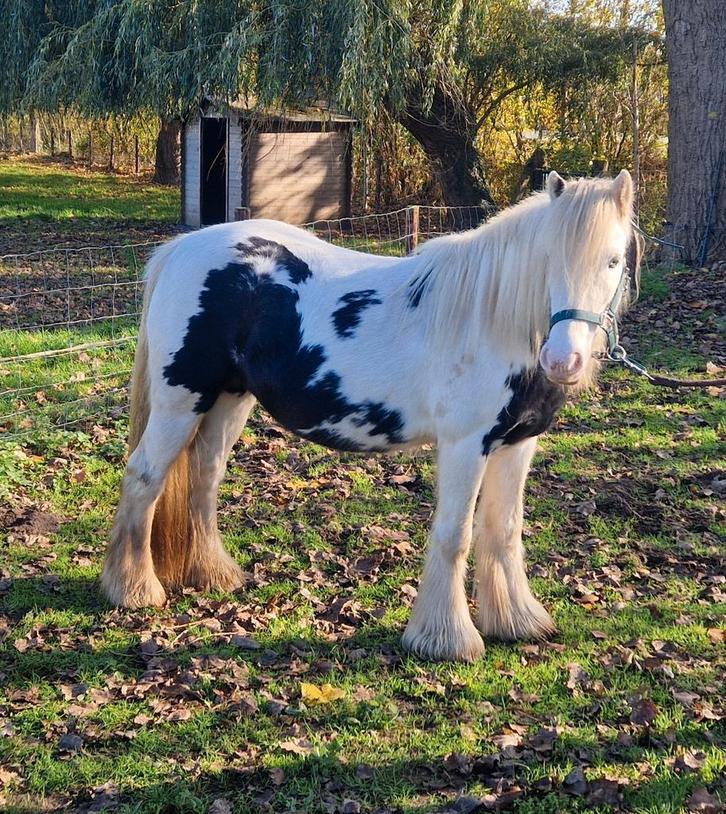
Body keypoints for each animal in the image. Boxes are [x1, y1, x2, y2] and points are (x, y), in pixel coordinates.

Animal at [102, 169, 640, 662]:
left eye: (614, 260)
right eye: (549, 259)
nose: (563, 361)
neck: (491, 320)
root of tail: (181, 249)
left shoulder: (517, 443)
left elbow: (504, 530)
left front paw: (517, 621)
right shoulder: (466, 445)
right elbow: (455, 535)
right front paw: (446, 640)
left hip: (229, 400)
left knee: (204, 477)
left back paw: (213, 575)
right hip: (181, 400)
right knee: (145, 476)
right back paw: (133, 590)